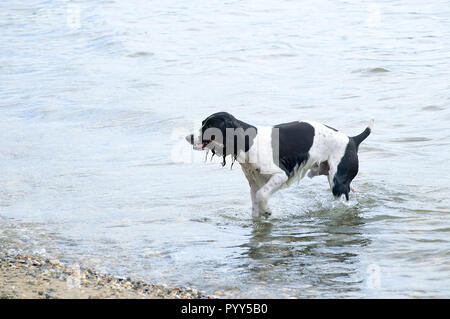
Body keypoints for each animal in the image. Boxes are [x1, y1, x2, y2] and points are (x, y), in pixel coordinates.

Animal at [184, 111, 372, 219]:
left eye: (209, 126)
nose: (189, 137)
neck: (249, 141)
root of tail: (353, 139)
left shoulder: (281, 174)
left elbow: (262, 196)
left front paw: (267, 211)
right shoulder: (254, 183)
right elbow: (255, 204)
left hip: (337, 183)